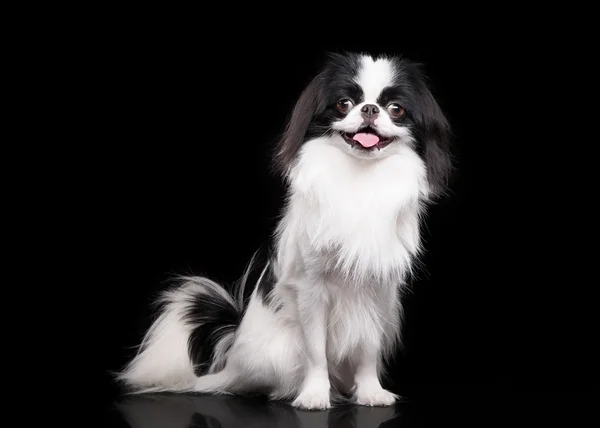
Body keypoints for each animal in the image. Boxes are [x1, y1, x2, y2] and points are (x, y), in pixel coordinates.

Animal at [117, 51, 452, 412]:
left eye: (395, 109)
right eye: (344, 104)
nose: (369, 109)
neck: (359, 177)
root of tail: (233, 355)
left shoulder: (378, 291)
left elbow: (368, 347)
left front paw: (371, 393)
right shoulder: (312, 289)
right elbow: (316, 351)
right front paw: (314, 396)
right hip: (275, 353)